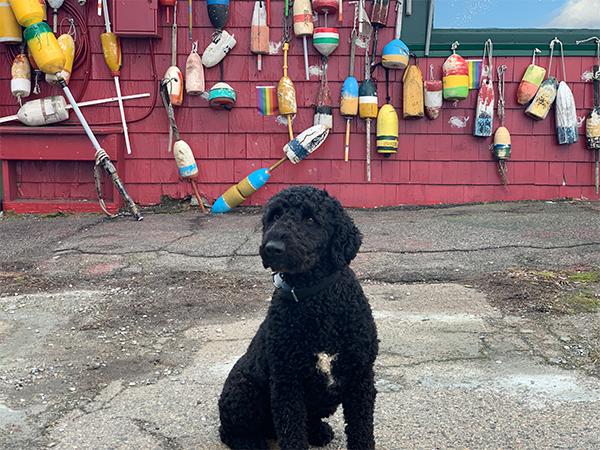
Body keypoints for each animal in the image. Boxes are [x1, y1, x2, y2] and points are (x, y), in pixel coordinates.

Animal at [218, 185, 378, 448]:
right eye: (274, 216)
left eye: (310, 219)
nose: (272, 247)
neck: (317, 302)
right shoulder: (287, 382)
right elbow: (291, 432)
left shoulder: (360, 376)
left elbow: (361, 429)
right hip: (244, 391)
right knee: (228, 431)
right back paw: (251, 442)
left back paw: (317, 431)